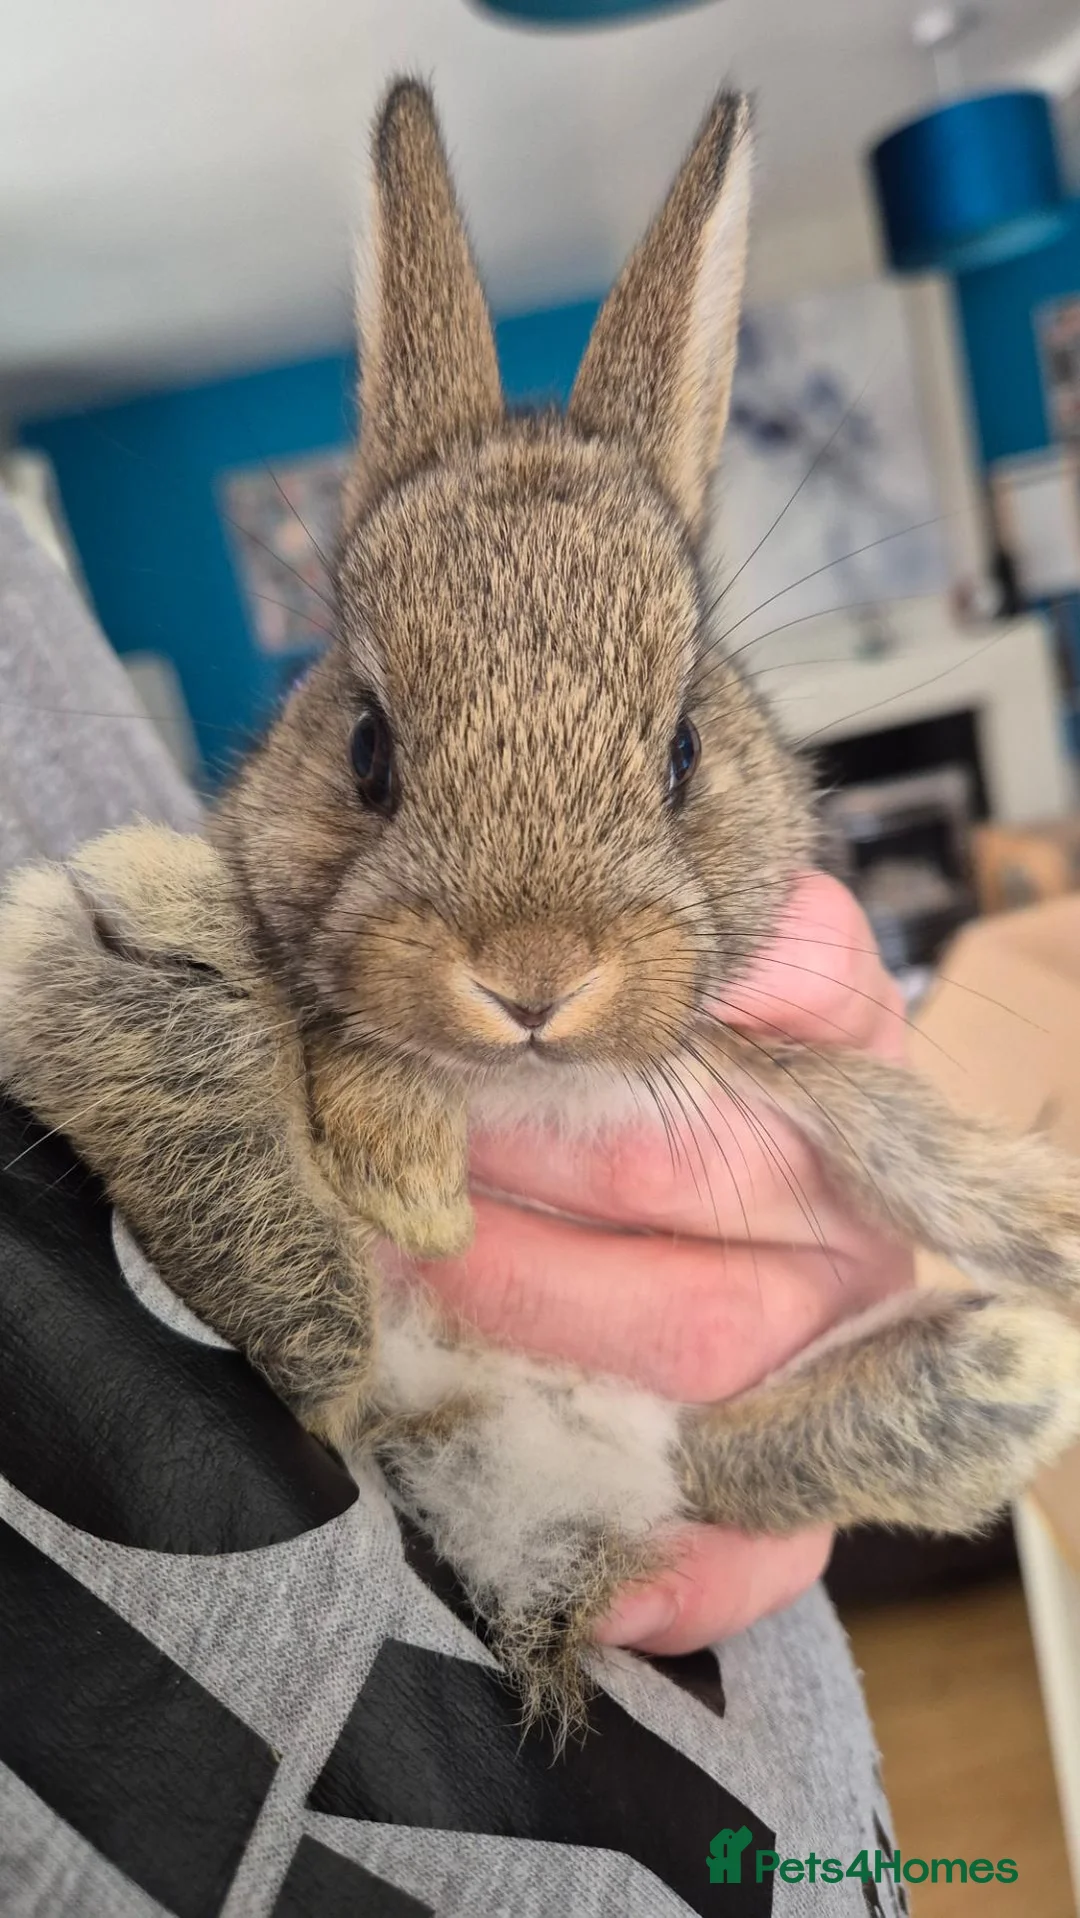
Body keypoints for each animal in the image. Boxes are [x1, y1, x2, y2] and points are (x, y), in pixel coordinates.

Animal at [4, 80, 1080, 1739]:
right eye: (368, 747)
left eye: (683, 749)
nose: (530, 975)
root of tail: (547, 1485)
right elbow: (349, 1043)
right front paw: (406, 1166)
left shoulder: (748, 1048)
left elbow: (891, 1129)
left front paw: (1052, 1227)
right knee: (317, 1354)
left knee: (701, 1460)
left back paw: (990, 1381)